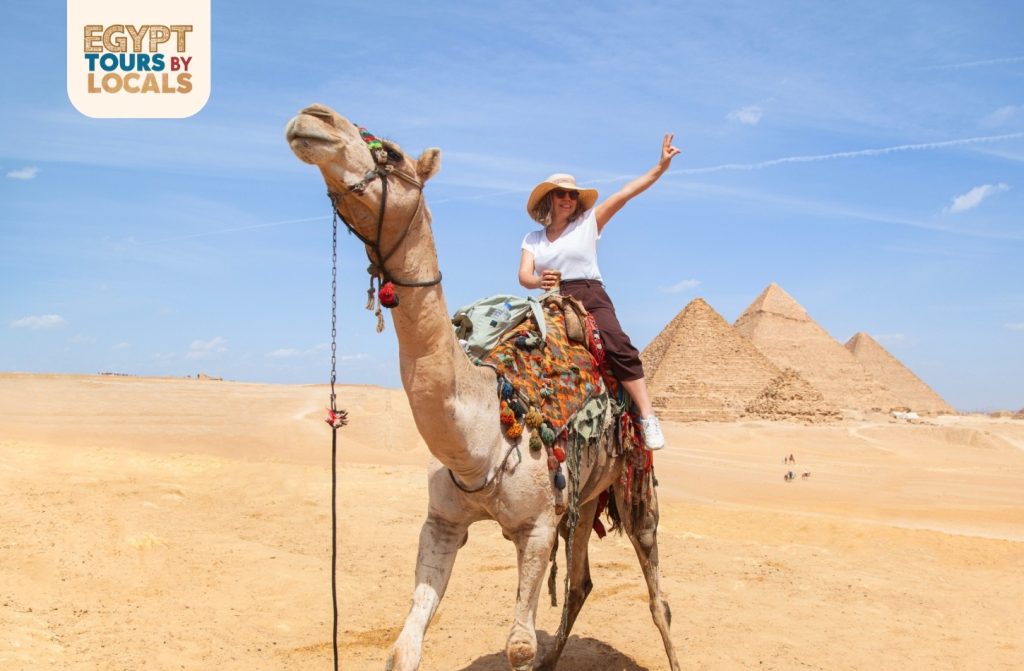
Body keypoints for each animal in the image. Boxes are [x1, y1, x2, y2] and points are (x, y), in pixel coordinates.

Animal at [285, 103, 681, 671]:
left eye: (394, 154)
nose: (313, 117)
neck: (483, 435)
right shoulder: (443, 521)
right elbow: (404, 647)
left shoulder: (535, 528)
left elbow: (518, 645)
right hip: (584, 495)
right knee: (580, 582)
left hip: (633, 482)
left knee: (656, 596)